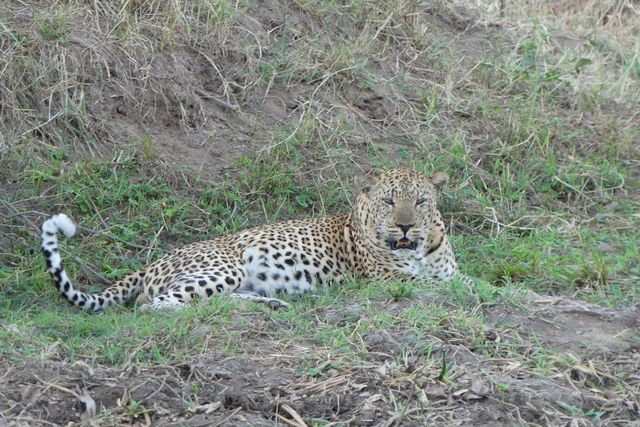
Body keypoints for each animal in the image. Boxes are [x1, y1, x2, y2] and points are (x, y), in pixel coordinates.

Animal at [40, 167, 468, 312]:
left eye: (420, 201)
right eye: (389, 201)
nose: (406, 227)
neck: (421, 249)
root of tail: (151, 263)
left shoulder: (443, 269)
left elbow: (461, 280)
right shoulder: (389, 279)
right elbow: (439, 284)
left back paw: (271, 303)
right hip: (222, 267)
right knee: (154, 305)